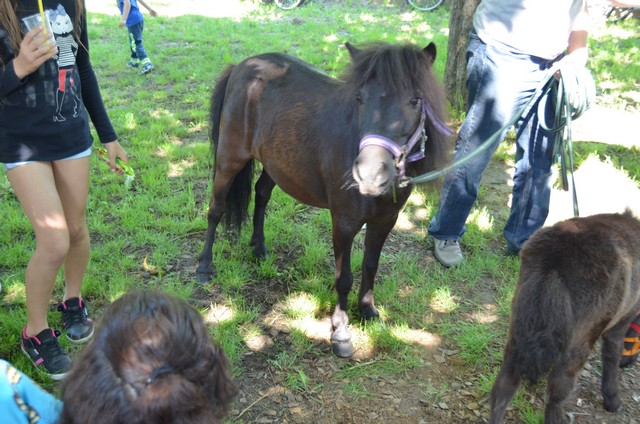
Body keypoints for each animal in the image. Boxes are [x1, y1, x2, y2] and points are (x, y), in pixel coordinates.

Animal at [196, 41, 451, 358]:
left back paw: (259, 248)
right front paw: (340, 331)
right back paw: (204, 266)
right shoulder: (343, 222)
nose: (370, 173)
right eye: (359, 98)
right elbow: (343, 277)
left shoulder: (385, 221)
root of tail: (243, 66)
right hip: (229, 159)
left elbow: (371, 265)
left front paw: (368, 311)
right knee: (216, 209)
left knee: (261, 194)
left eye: (416, 100)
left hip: (276, 163)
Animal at [489, 211, 640, 424]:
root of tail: (553, 262)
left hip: (518, 324)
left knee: (503, 387)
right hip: (580, 339)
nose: (627, 363)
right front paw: (612, 400)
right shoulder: (622, 320)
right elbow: (611, 356)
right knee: (557, 391)